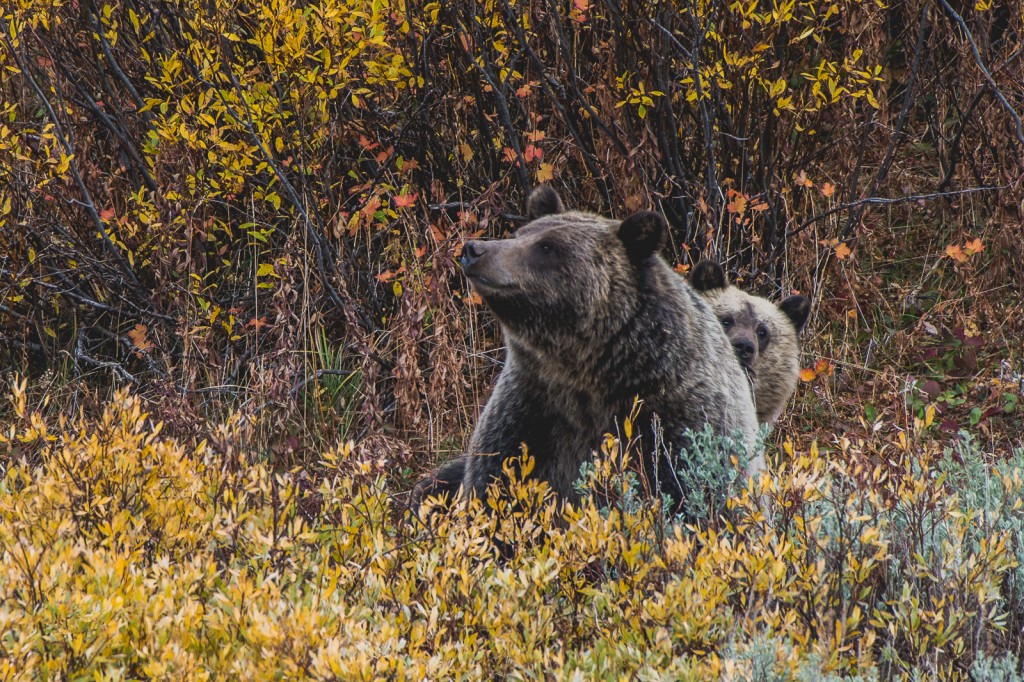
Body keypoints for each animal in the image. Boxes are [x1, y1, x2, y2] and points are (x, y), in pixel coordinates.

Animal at [411, 186, 757, 509]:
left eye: (547, 246)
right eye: (519, 234)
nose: (474, 249)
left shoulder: (678, 418)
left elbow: (694, 491)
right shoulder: (531, 413)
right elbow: (494, 483)